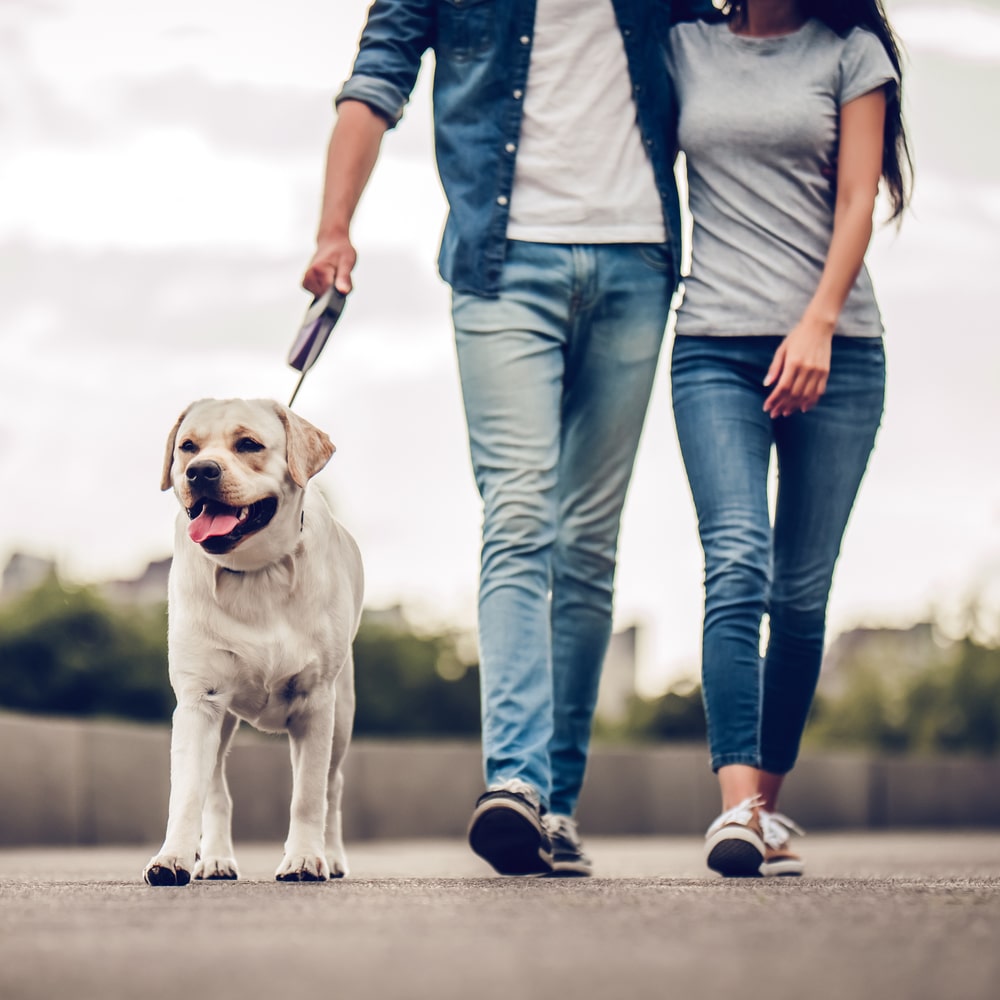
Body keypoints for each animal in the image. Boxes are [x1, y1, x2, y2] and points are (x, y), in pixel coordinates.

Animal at [145, 396, 364, 884]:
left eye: (248, 444)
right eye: (188, 447)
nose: (201, 471)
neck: (256, 573)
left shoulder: (315, 702)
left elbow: (308, 795)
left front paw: (304, 858)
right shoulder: (199, 700)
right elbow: (187, 794)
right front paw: (172, 858)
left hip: (342, 713)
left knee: (334, 785)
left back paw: (333, 855)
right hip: (222, 719)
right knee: (216, 792)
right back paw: (215, 859)